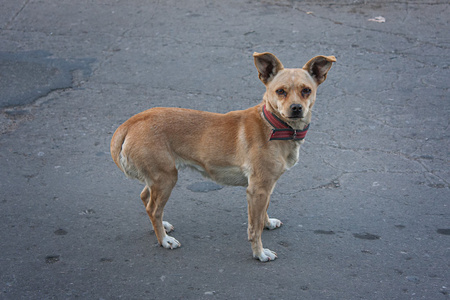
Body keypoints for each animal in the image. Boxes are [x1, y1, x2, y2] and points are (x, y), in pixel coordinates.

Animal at [110, 51, 336, 260]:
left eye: (306, 90)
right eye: (280, 91)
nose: (296, 108)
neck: (273, 125)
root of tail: (133, 121)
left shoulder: (266, 187)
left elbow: (263, 212)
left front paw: (267, 222)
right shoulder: (257, 189)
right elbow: (254, 229)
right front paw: (259, 253)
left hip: (158, 177)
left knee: (146, 197)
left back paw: (162, 226)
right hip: (166, 178)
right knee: (153, 209)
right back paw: (164, 240)